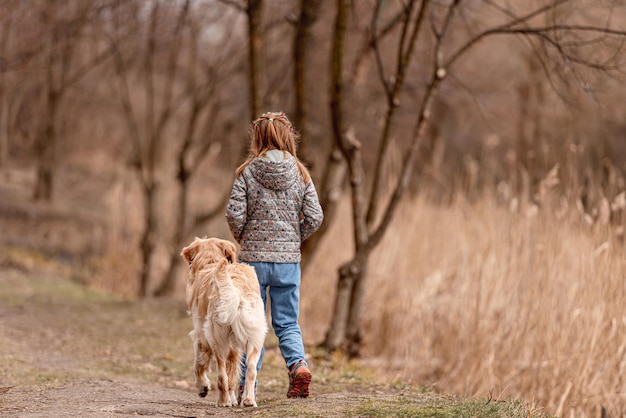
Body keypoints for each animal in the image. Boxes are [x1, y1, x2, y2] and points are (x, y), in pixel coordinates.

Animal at [182, 238, 266, 408]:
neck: (211, 262)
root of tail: (236, 288)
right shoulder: (235, 348)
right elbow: (233, 372)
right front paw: (233, 398)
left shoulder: (200, 335)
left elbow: (199, 363)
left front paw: (202, 387)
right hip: (255, 338)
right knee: (251, 370)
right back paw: (248, 401)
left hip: (217, 340)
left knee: (221, 375)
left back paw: (223, 401)